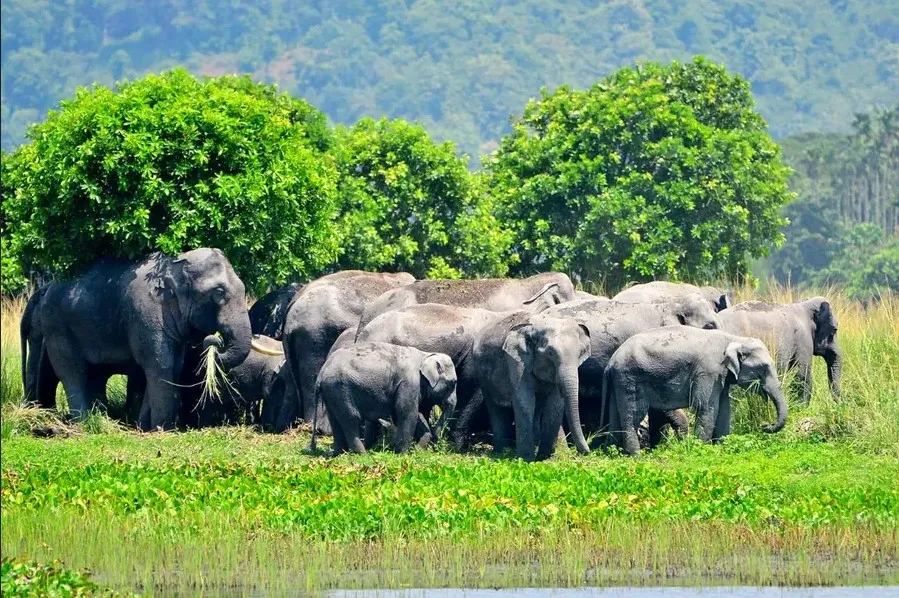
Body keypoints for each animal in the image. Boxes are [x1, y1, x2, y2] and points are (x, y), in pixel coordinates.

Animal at [38, 248, 252, 430]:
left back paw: (99, 418)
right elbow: (159, 363)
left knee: (95, 374)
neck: (174, 265)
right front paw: (162, 429)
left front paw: (144, 426)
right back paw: (84, 423)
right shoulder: (146, 312)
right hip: (56, 325)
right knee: (73, 371)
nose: (215, 340)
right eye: (219, 292)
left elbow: (174, 365)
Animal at [312, 342, 457, 455]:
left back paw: (339, 454)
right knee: (351, 418)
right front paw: (402, 454)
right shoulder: (409, 383)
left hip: (332, 392)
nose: (437, 441)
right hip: (340, 389)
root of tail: (321, 373)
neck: (425, 355)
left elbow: (408, 415)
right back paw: (362, 454)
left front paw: (418, 449)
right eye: (453, 383)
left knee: (335, 420)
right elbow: (406, 413)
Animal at [473, 312, 591, 461]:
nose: (586, 452)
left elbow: (555, 404)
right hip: (483, 379)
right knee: (496, 408)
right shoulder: (516, 359)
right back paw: (500, 452)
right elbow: (525, 400)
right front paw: (525, 459)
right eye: (550, 353)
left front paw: (545, 458)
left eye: (580, 353)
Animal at [604, 326, 788, 456]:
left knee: (615, 417)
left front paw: (722, 448)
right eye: (763, 368)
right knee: (632, 416)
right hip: (630, 379)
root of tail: (611, 363)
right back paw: (636, 456)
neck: (734, 339)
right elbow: (706, 407)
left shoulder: (720, 377)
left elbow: (725, 409)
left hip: (619, 382)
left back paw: (616, 454)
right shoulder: (708, 372)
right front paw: (701, 449)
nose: (764, 425)